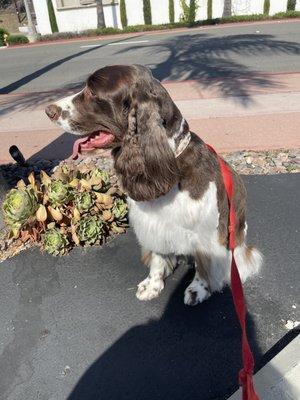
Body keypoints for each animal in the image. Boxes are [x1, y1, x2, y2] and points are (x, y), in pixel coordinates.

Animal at [45, 64, 262, 304]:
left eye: (92, 92)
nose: (48, 110)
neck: (170, 160)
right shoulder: (154, 225)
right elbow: (158, 257)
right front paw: (152, 285)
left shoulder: (206, 233)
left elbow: (204, 263)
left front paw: (198, 288)